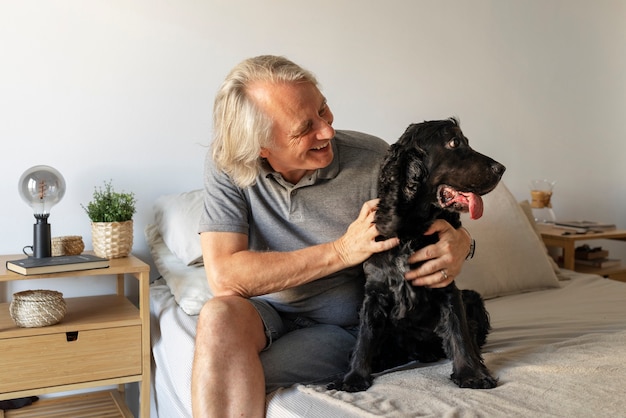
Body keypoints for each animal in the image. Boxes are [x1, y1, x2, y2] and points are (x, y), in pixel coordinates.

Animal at [332, 117, 502, 392]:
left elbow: (459, 331)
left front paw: (471, 373)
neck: (411, 232)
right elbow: (364, 338)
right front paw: (353, 377)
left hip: (472, 297)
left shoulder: (446, 287)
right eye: (454, 143)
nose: (502, 168)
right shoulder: (375, 292)